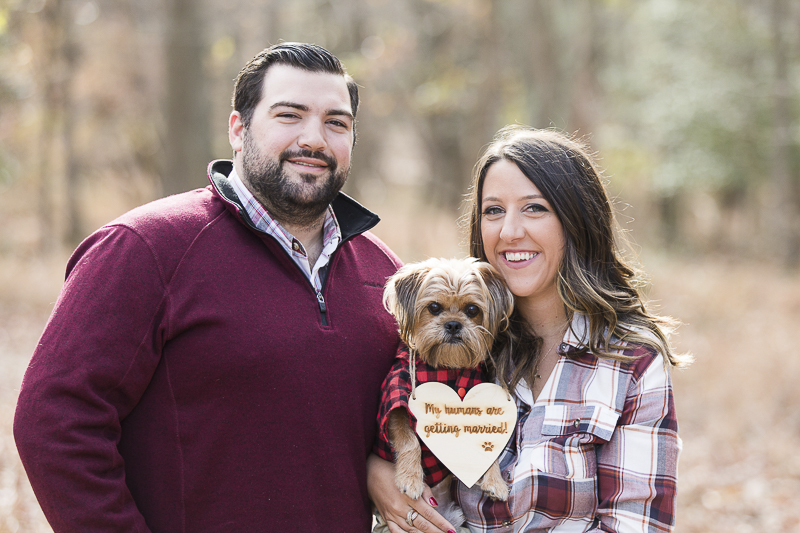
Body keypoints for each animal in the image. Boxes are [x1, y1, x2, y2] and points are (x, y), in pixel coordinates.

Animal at [380, 258, 512, 516]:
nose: (453, 324)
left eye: (472, 310)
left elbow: (489, 450)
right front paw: (411, 479)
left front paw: (496, 482)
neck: (445, 368)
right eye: (434, 307)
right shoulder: (396, 402)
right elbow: (410, 440)